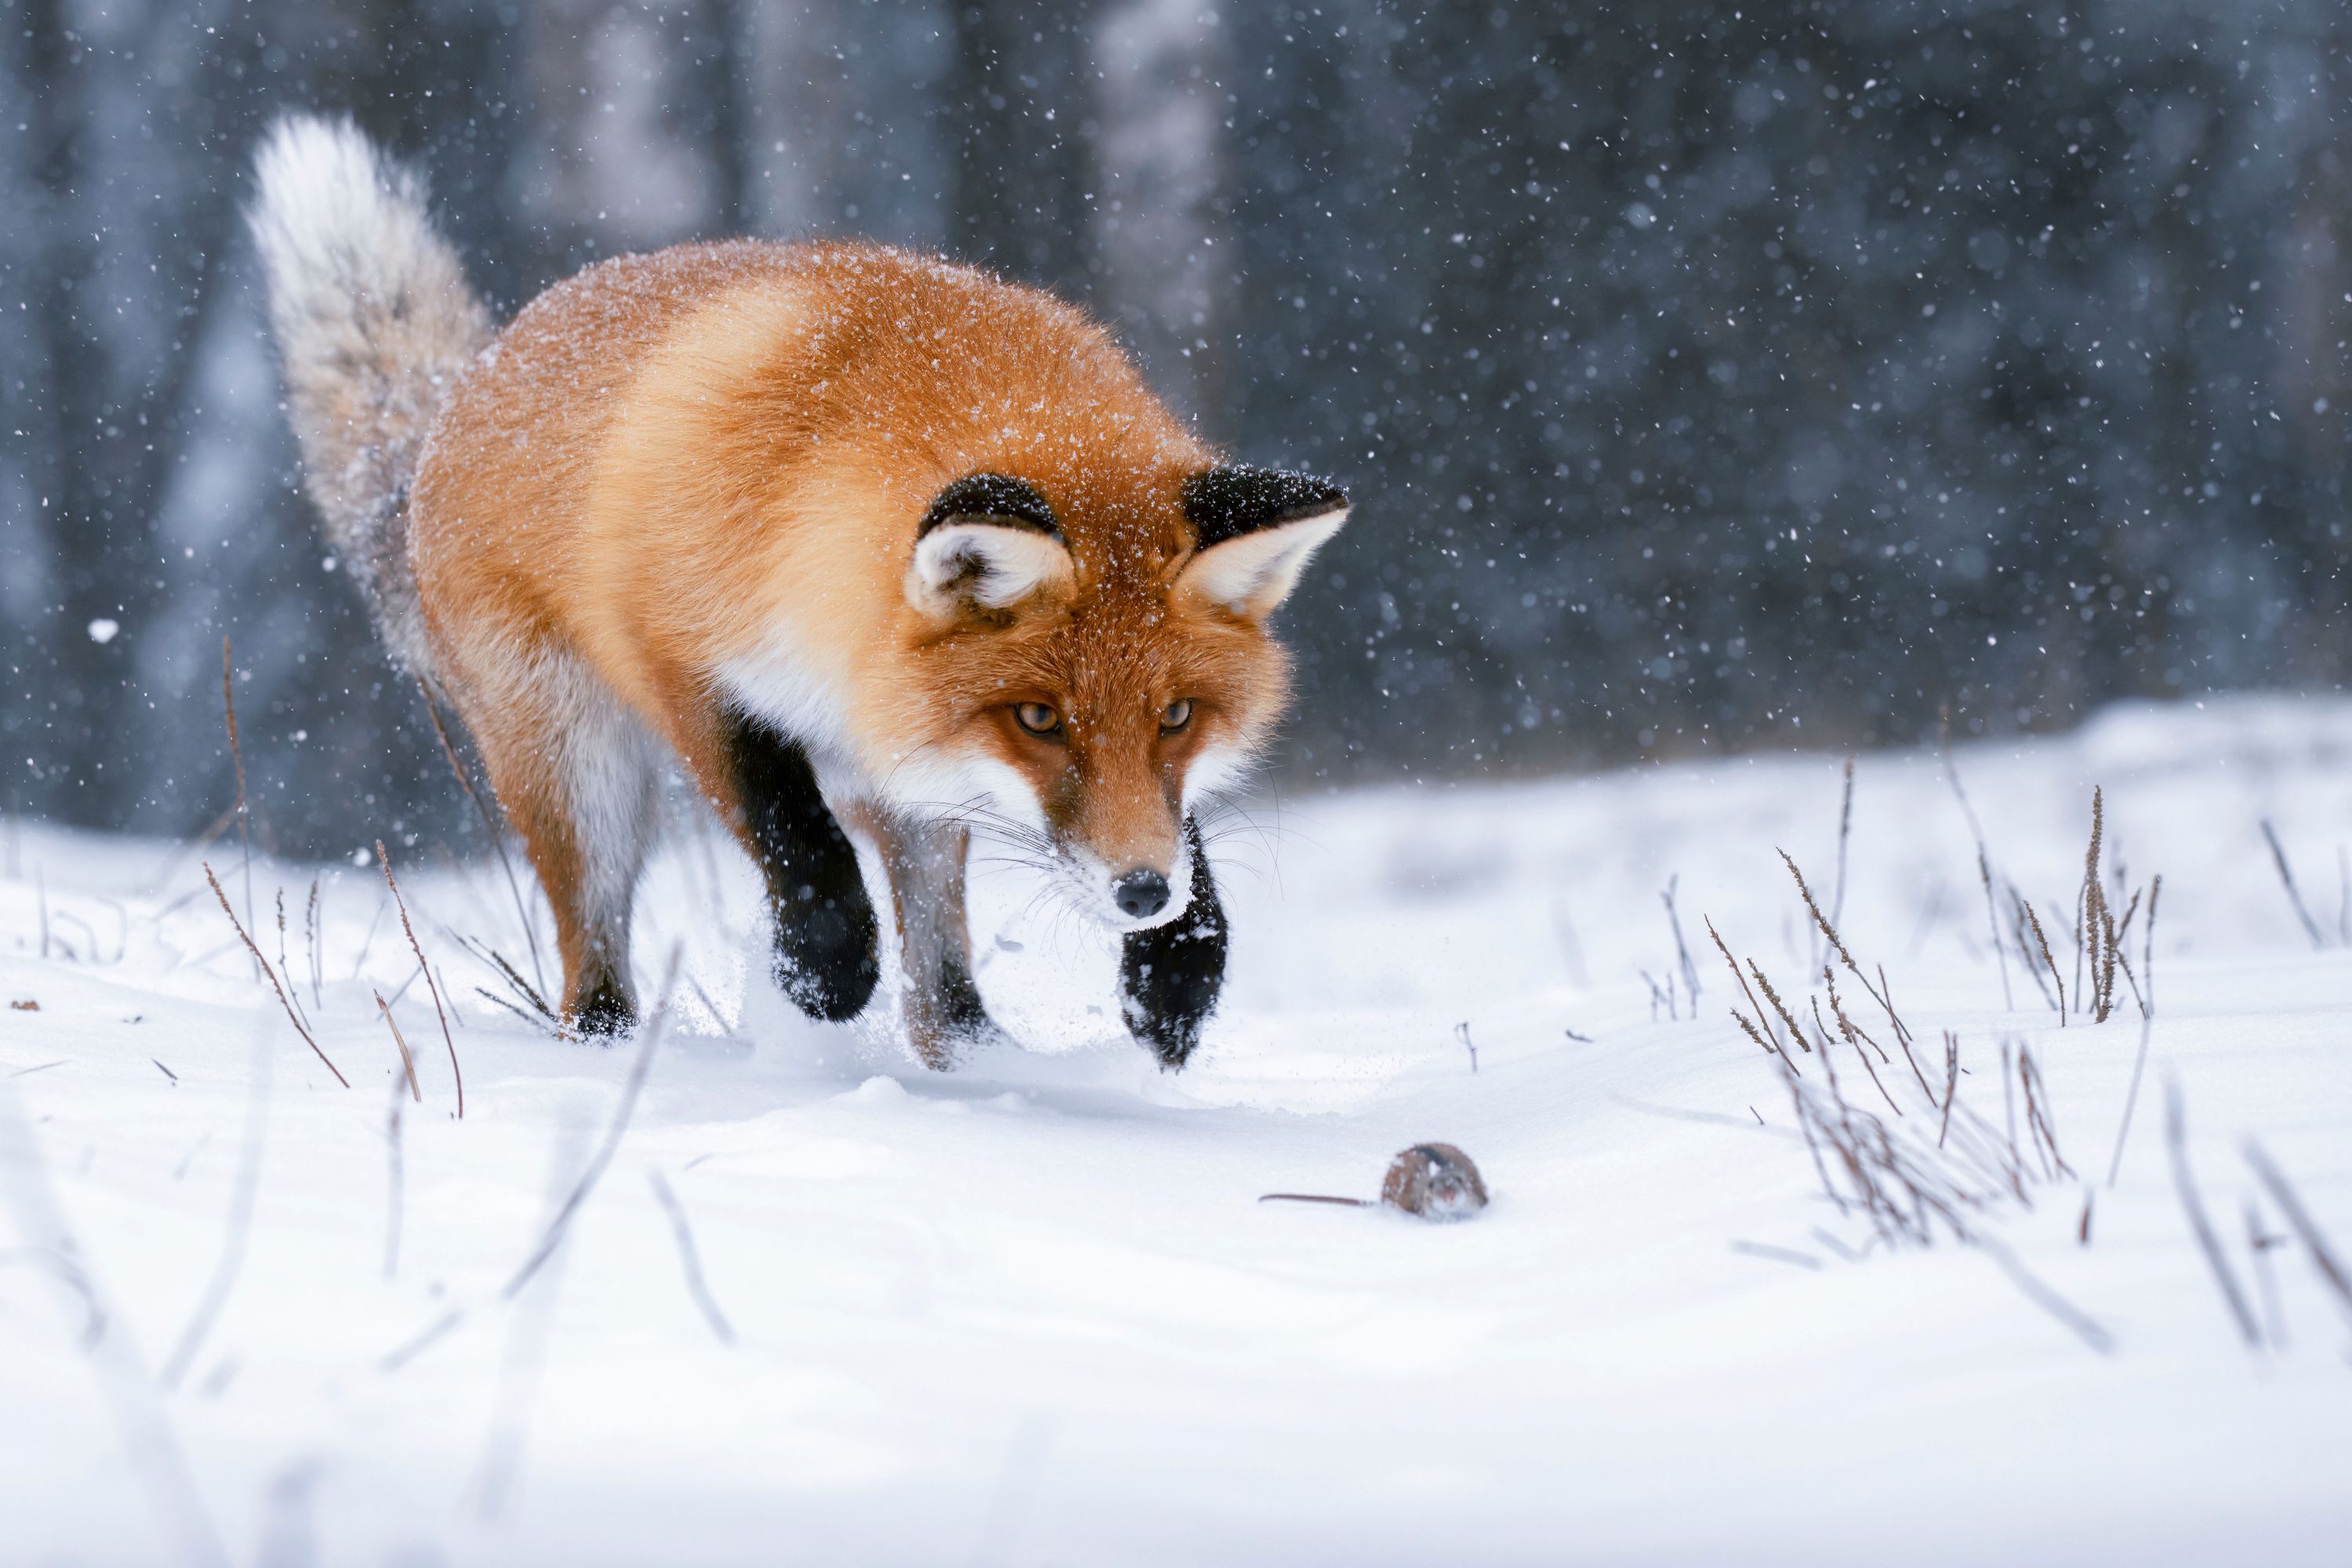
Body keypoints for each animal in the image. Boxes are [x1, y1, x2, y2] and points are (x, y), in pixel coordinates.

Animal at [248, 115, 1349, 1068]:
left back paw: (988, 1068)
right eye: (1038, 718)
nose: (1138, 896)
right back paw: (610, 1054)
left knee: (940, 996)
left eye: (1178, 716)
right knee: (592, 967)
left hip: (906, 785)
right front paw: (821, 974)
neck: (804, 495)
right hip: (580, 766)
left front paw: (1176, 973)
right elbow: (795, 837)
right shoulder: (679, 656)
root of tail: (464, 389)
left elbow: (1188, 835)